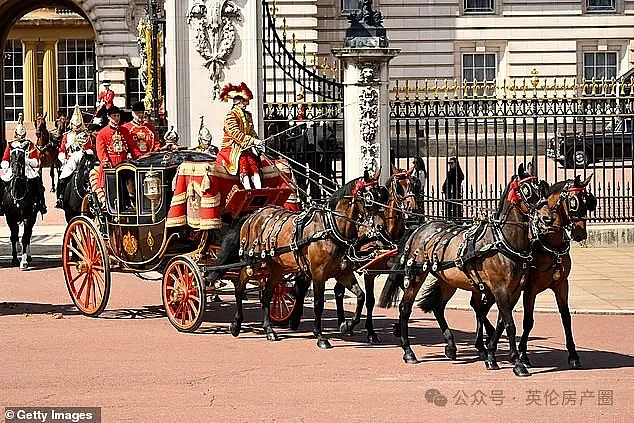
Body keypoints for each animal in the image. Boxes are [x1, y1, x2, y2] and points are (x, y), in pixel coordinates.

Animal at [205, 171, 388, 348]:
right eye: (369, 199)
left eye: (382, 197)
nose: (381, 227)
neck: (330, 228)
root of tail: (252, 215)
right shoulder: (318, 274)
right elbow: (318, 304)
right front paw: (320, 336)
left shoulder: (342, 273)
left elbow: (361, 296)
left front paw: (348, 325)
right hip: (252, 262)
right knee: (239, 286)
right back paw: (236, 325)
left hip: (276, 268)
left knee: (267, 294)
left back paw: (269, 330)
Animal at [378, 166, 556, 378]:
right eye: (527, 191)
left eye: (543, 189)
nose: (547, 218)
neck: (504, 241)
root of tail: (418, 227)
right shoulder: (500, 289)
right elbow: (510, 325)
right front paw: (517, 363)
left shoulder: (513, 292)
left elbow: (501, 323)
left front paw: (491, 355)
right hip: (416, 276)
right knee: (405, 308)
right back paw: (408, 352)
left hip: (447, 280)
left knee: (438, 306)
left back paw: (450, 346)